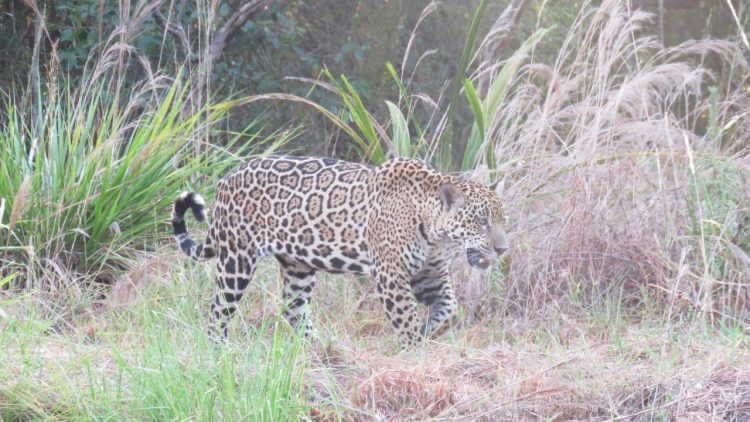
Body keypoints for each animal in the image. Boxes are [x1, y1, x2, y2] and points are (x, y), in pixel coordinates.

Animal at [172, 155, 509, 349]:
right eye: (481, 221)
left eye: (501, 219)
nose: (503, 249)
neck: (436, 231)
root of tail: (227, 179)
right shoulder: (391, 276)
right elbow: (406, 319)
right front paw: (415, 352)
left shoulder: (430, 275)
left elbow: (449, 309)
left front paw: (429, 330)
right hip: (236, 260)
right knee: (218, 313)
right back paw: (218, 355)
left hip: (298, 267)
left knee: (294, 311)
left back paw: (323, 353)